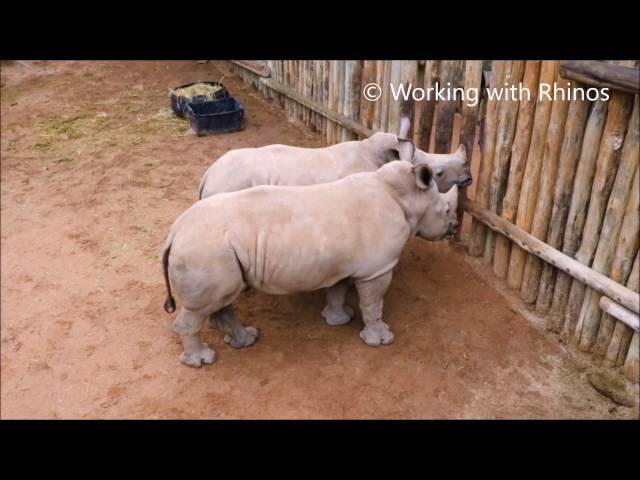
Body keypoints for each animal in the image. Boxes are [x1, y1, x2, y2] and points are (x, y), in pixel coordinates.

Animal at [162, 161, 458, 368]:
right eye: (445, 210)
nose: (454, 228)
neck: (407, 198)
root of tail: (173, 233)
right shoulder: (377, 269)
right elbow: (374, 304)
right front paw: (381, 339)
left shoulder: (342, 264)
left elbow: (337, 291)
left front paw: (339, 319)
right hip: (203, 249)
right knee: (203, 307)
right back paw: (203, 361)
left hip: (210, 251)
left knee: (222, 297)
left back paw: (245, 340)